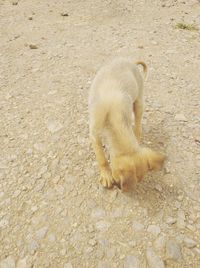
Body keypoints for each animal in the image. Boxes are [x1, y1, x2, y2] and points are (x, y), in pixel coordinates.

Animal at [89, 56, 166, 192]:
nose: (119, 187)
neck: (112, 115)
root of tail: (131, 62)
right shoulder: (94, 133)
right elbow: (101, 157)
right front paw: (106, 175)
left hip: (139, 102)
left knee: (138, 125)